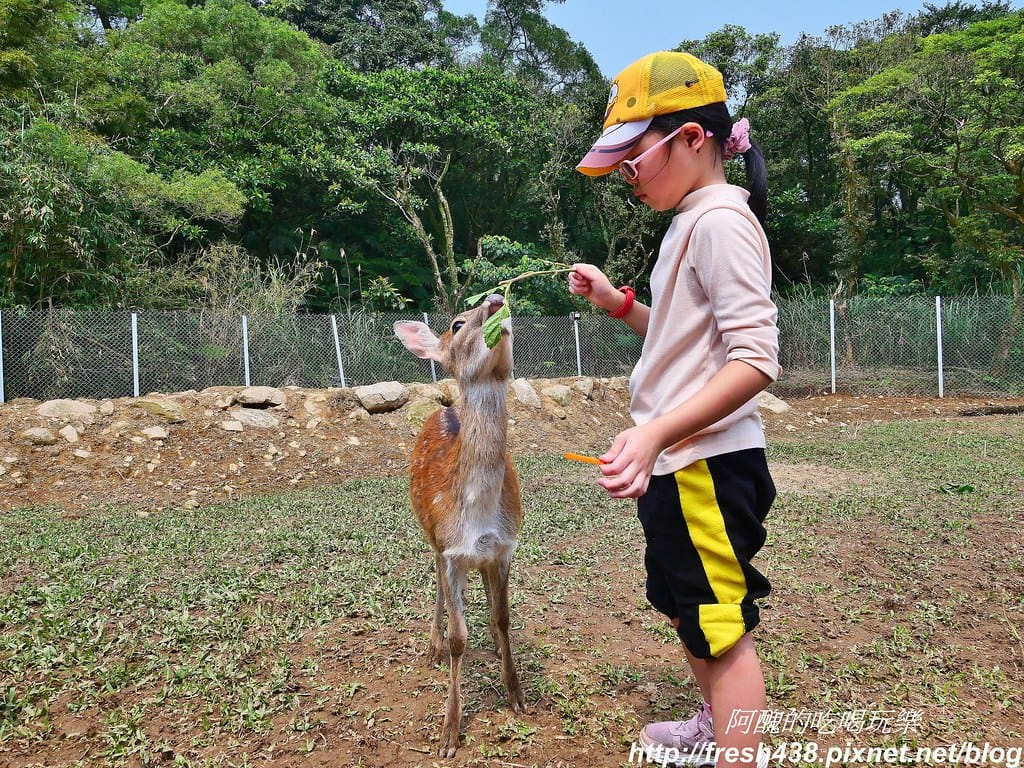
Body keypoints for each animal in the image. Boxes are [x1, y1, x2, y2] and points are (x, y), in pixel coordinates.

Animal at [393, 294, 526, 758]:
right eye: (456, 322)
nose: (497, 299)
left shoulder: (504, 548)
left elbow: (503, 617)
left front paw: (516, 694)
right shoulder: (450, 548)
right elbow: (458, 638)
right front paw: (449, 733)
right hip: (429, 534)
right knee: (435, 581)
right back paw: (431, 647)